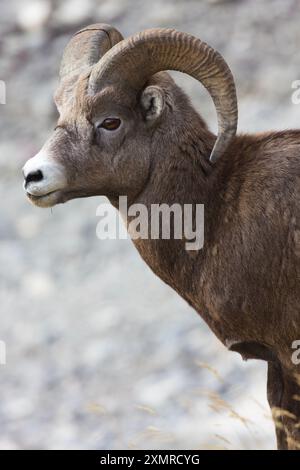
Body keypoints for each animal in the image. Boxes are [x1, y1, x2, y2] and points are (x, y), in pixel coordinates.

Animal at [22, 23, 300, 450]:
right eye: (61, 113)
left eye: (110, 122)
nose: (32, 176)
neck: (215, 206)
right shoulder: (276, 367)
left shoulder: (289, 356)